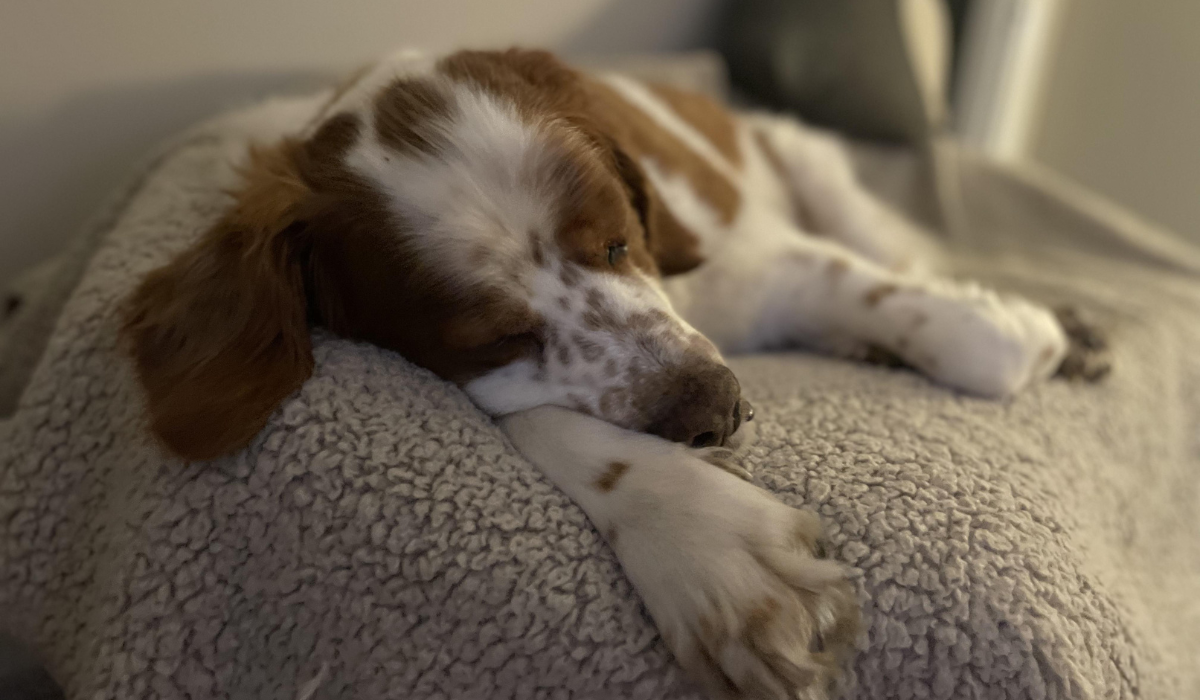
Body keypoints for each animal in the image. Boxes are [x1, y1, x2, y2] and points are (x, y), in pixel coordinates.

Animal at [119, 49, 1104, 700]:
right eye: (494, 337)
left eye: (617, 238)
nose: (721, 406)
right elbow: (555, 421)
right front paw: (709, 548)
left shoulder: (750, 265)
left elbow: (914, 312)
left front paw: (1014, 330)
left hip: (822, 181)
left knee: (896, 251)